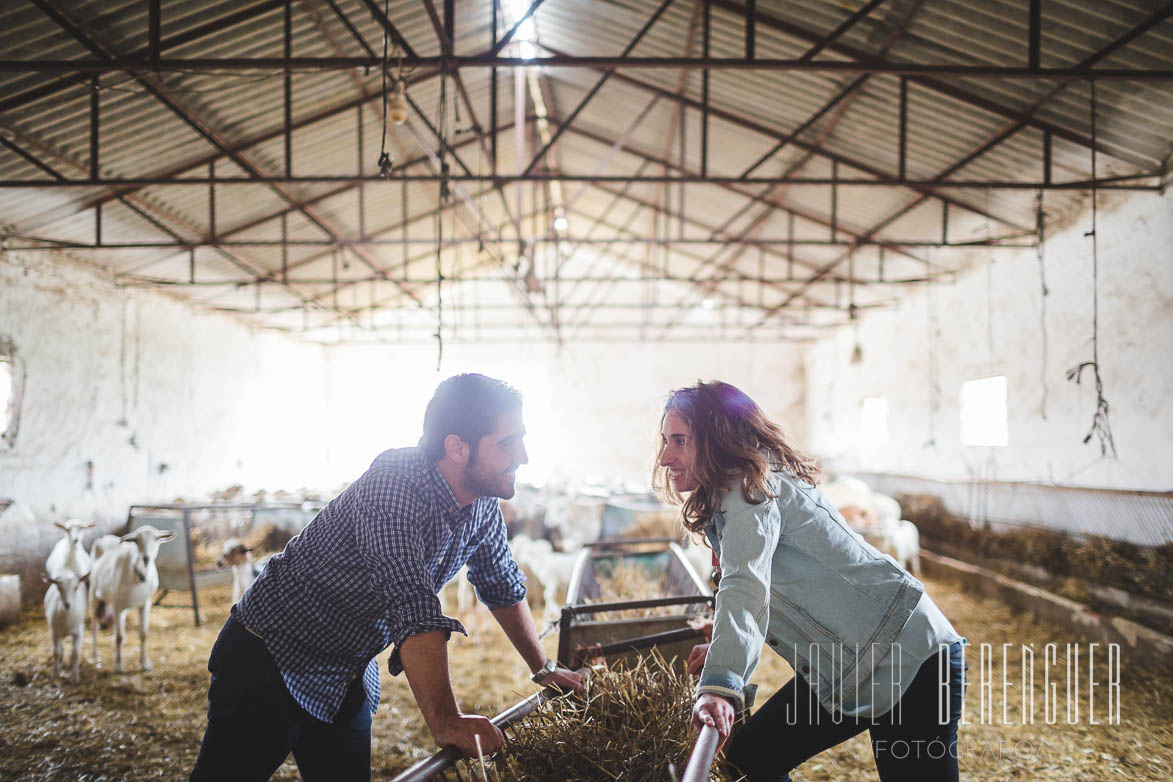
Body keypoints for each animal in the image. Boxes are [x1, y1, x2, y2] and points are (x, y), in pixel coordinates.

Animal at [89, 525, 174, 675]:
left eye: (156, 539)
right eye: (137, 541)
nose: (146, 558)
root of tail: (105, 538)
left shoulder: (145, 604)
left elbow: (143, 634)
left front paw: (145, 664)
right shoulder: (117, 605)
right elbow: (119, 636)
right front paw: (118, 666)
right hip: (94, 596)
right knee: (95, 626)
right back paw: (94, 656)